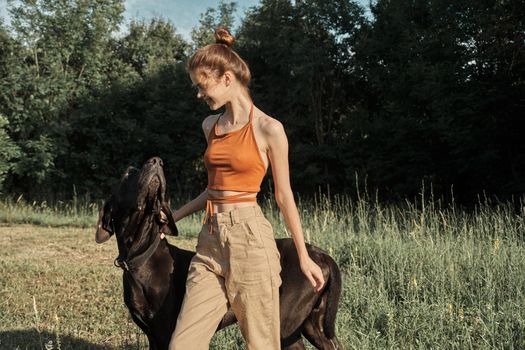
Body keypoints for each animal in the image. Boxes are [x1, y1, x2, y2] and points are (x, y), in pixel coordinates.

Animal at [95, 157, 342, 348]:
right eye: (128, 173)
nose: (156, 161)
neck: (141, 256)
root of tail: (319, 254)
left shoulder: (165, 333)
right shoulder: (153, 336)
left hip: (285, 324)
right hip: (312, 325)